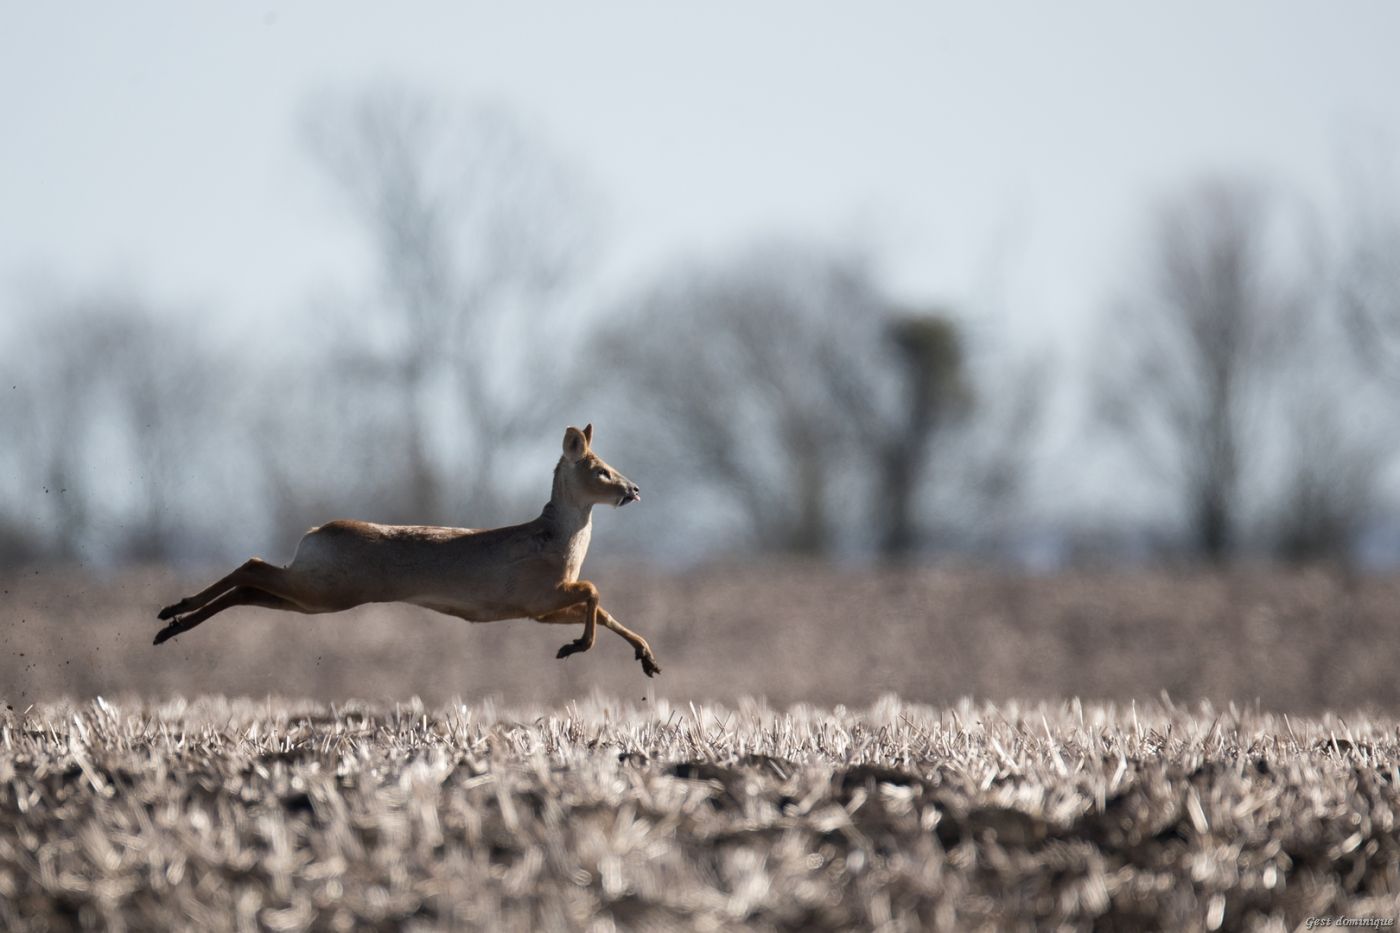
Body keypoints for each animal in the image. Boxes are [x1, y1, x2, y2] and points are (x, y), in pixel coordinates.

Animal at [154, 424, 661, 677]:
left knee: (251, 585)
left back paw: (171, 624)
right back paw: (170, 614)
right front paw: (576, 647)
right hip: (326, 587)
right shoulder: (536, 593)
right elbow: (595, 592)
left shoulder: (538, 608)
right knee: (252, 565)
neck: (559, 542)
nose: (634, 489)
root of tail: (316, 531)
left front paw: (646, 657)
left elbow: (603, 608)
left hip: (315, 594)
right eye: (600, 469)